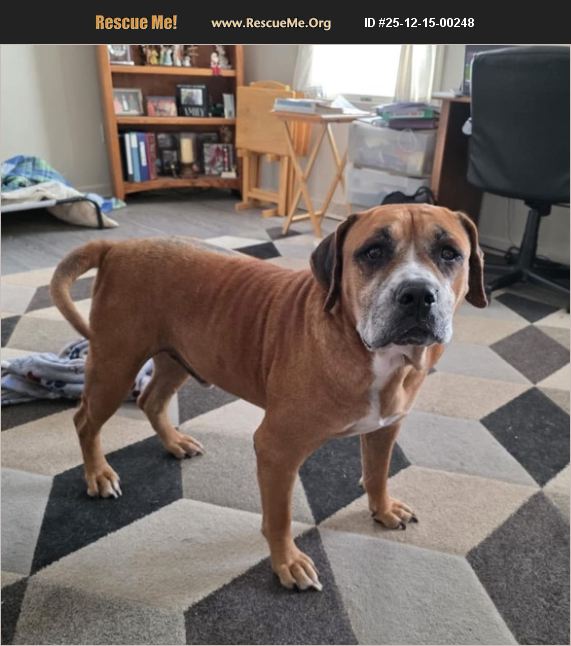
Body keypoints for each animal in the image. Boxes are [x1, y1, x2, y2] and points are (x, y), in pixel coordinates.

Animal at [50, 203, 487, 592]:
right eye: (373, 252)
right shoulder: (278, 449)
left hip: (177, 358)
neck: (376, 356)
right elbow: (279, 517)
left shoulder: (385, 428)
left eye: (450, 253)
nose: (417, 293)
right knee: (85, 420)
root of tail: (118, 247)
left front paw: (382, 509)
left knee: (151, 401)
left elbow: (377, 473)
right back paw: (98, 474)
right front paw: (287, 563)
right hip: (115, 367)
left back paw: (174, 442)